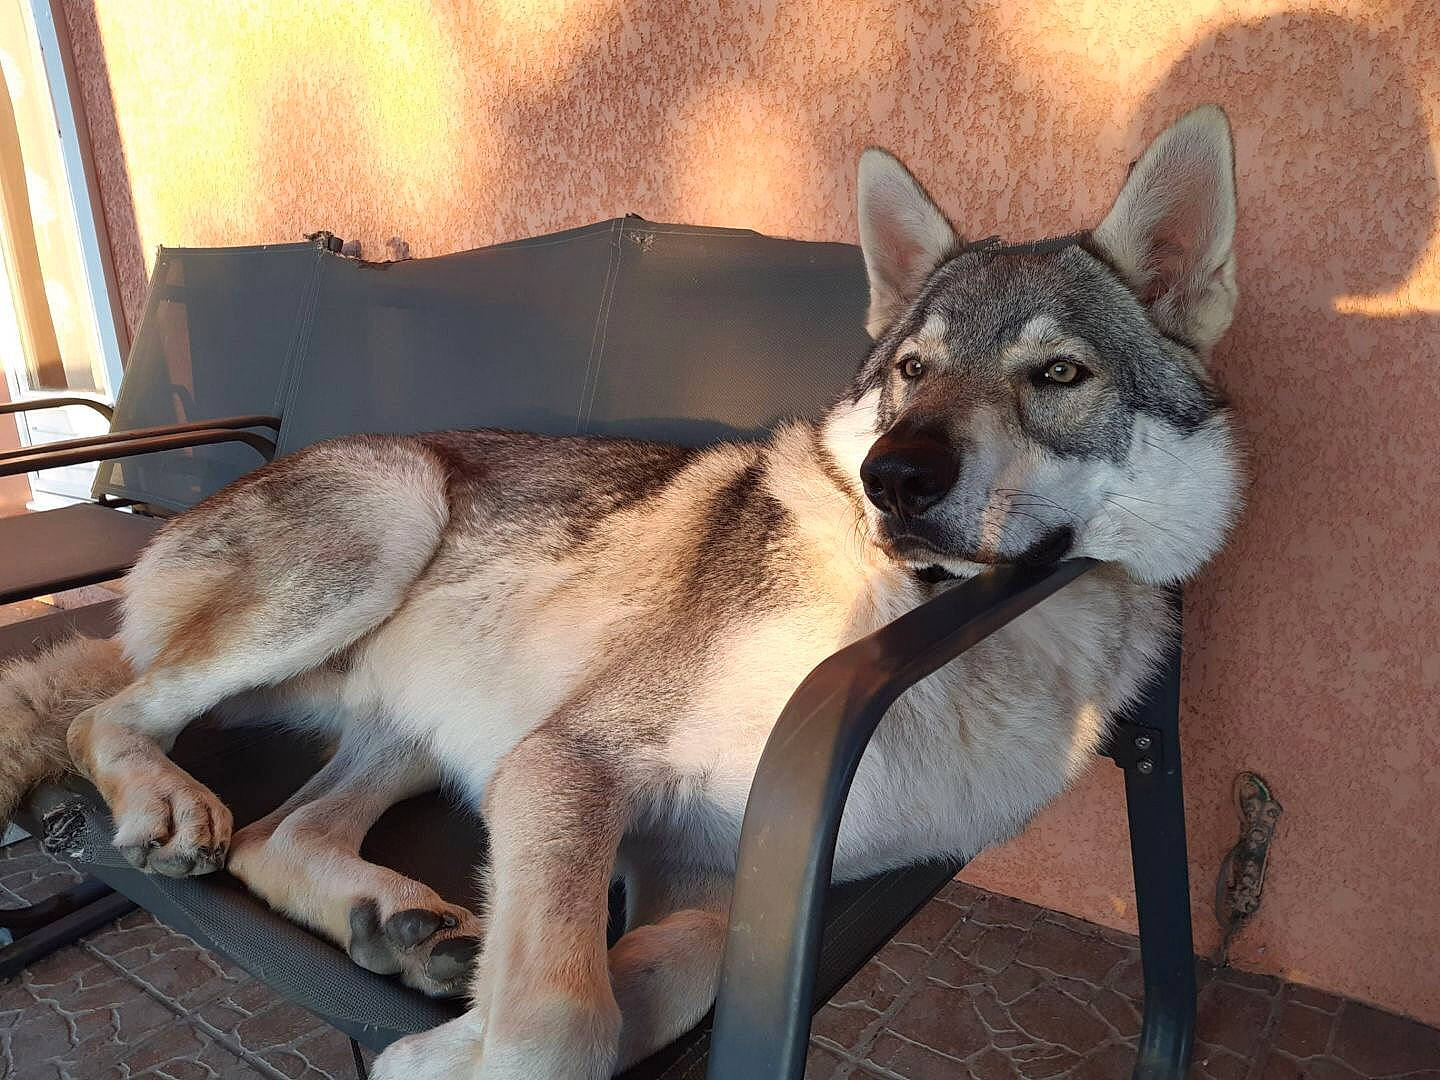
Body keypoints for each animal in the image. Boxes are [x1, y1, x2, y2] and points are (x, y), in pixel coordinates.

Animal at [0, 105, 1242, 1079]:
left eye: (1060, 375)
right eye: (911, 371)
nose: (897, 477)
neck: (914, 631)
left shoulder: (697, 872)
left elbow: (657, 983)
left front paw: (451, 1037)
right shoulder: (568, 767)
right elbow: (563, 1020)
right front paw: (473, 1047)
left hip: (446, 723)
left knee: (272, 835)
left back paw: (397, 928)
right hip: (395, 525)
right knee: (104, 717)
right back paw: (176, 807)